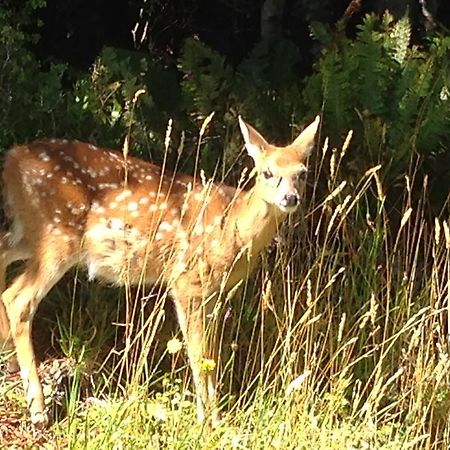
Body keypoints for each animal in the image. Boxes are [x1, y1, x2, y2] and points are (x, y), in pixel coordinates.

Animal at [0, 114, 320, 428]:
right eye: (267, 172)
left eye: (302, 172)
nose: (290, 198)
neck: (233, 228)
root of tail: (12, 159)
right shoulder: (187, 280)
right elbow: (198, 353)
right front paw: (207, 420)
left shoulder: (213, 293)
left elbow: (212, 354)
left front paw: (216, 416)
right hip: (57, 235)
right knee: (18, 299)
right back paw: (38, 410)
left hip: (33, 233)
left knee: (4, 256)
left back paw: (8, 354)